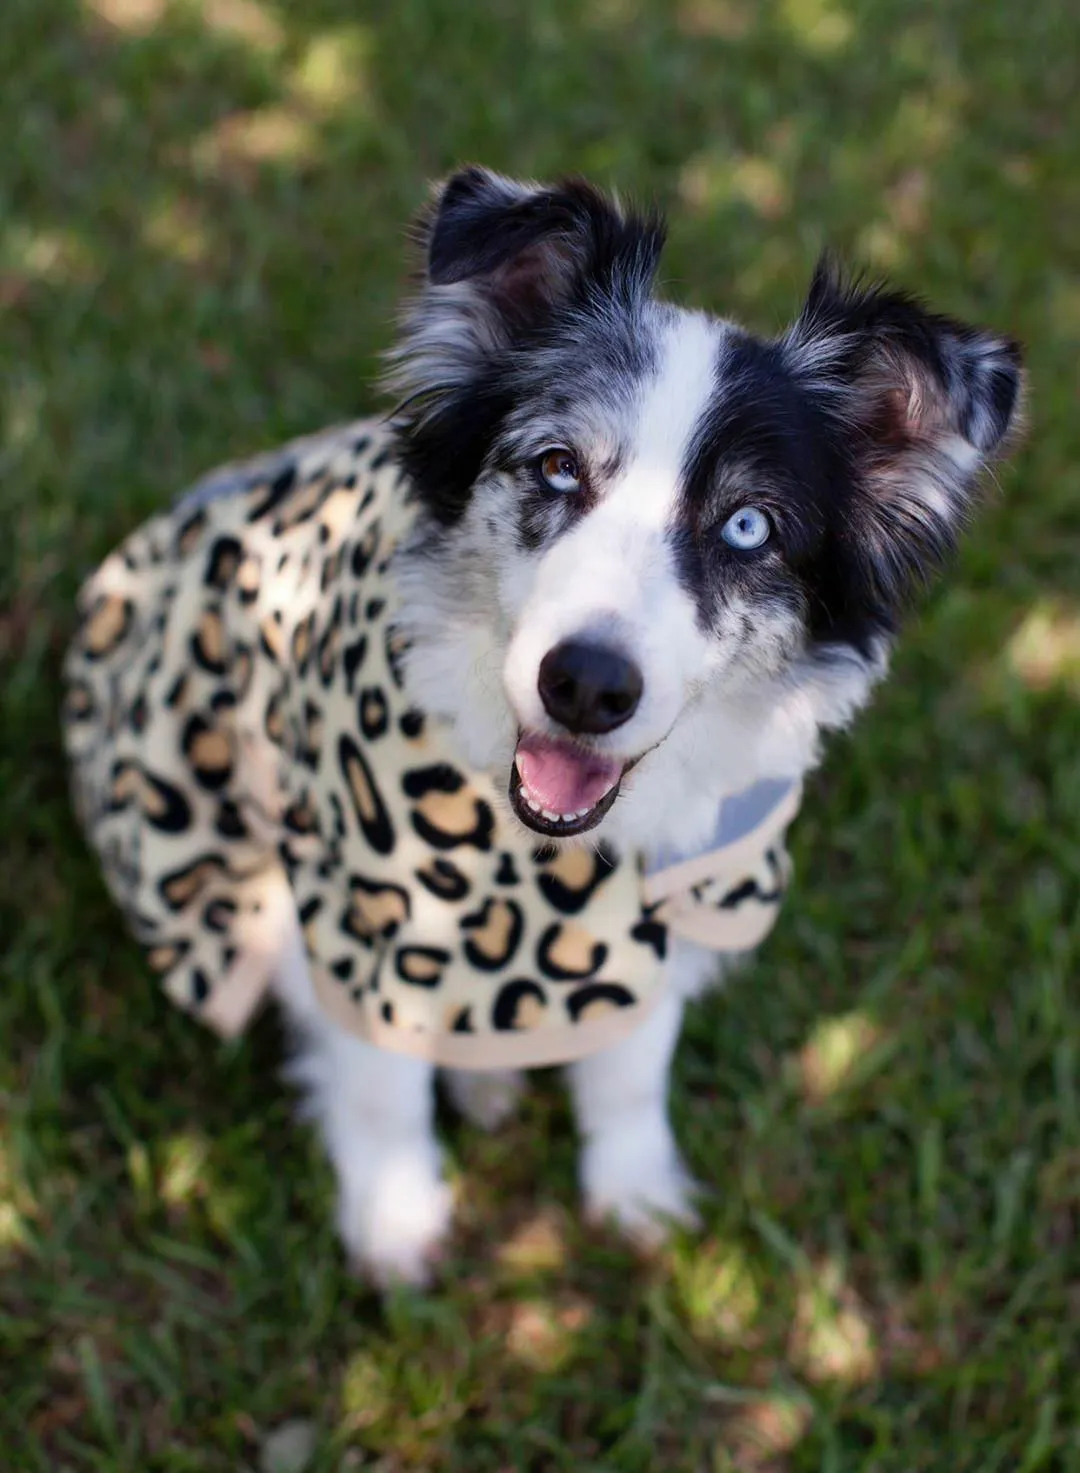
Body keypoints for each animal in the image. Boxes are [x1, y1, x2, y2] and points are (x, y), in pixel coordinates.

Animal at [63, 167, 1025, 1284]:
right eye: (558, 466)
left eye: (750, 526)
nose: (589, 687)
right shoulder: (359, 914)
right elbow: (381, 1085)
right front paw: (397, 1226)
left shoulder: (676, 904)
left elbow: (631, 1068)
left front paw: (635, 1194)